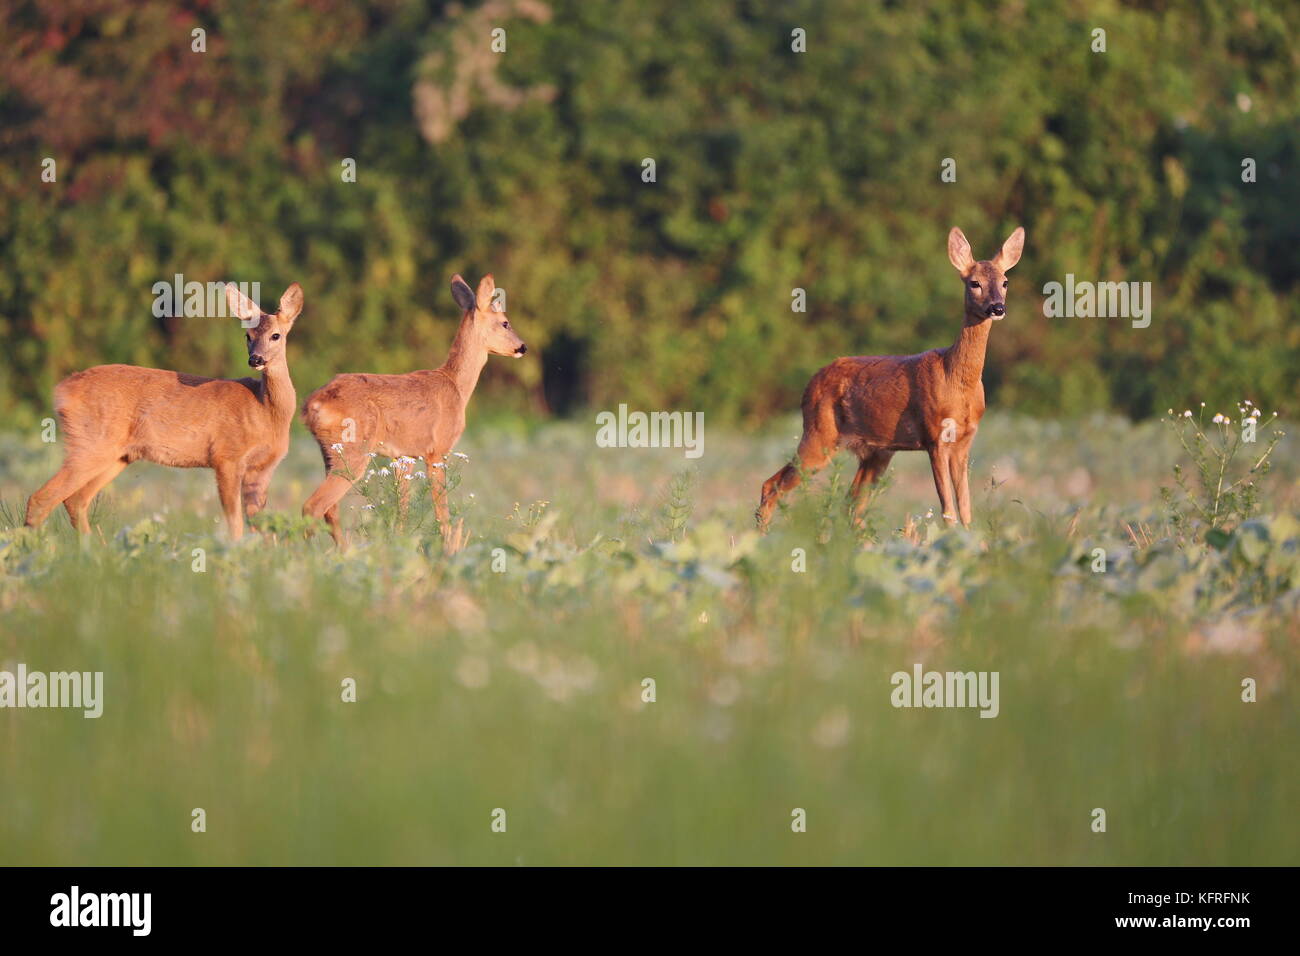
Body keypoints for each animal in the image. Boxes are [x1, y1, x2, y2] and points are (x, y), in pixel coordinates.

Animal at [24, 282, 304, 538]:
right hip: (90, 442)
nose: (255, 359)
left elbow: (261, 524)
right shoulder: (226, 456)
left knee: (75, 500)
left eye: (276, 335)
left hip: (119, 455)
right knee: (41, 499)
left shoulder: (264, 468)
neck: (266, 411)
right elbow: (234, 522)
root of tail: (62, 390)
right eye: (248, 336)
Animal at [301, 273, 525, 548]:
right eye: (505, 323)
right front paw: (447, 549)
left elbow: (402, 512)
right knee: (313, 505)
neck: (456, 387)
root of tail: (313, 404)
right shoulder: (437, 450)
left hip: (331, 453)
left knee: (330, 510)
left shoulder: (401, 457)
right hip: (353, 451)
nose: (522, 347)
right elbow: (442, 513)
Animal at [754, 228, 1024, 535]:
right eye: (974, 283)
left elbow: (966, 511)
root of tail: (809, 385)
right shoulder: (935, 436)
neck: (955, 379)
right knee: (771, 485)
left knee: (849, 504)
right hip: (819, 435)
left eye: (1005, 282)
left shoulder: (964, 442)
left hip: (875, 452)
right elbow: (948, 511)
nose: (997, 307)